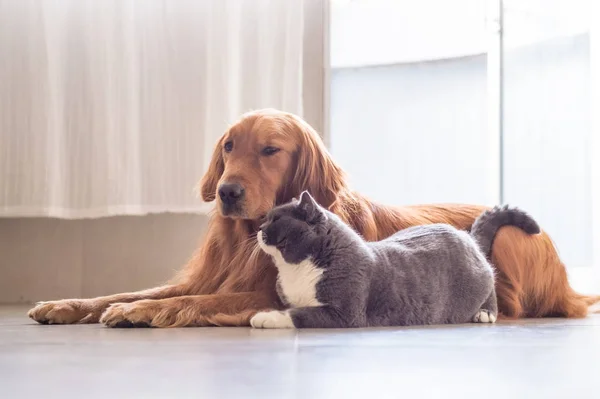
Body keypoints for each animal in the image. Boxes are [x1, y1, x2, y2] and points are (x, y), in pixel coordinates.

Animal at [251, 192, 540, 330]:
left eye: (276, 219)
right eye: (266, 218)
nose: (259, 228)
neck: (294, 269)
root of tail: (466, 235)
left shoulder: (344, 313)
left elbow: (299, 314)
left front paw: (266, 318)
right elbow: (292, 306)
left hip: (480, 278)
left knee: (491, 281)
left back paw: (484, 313)